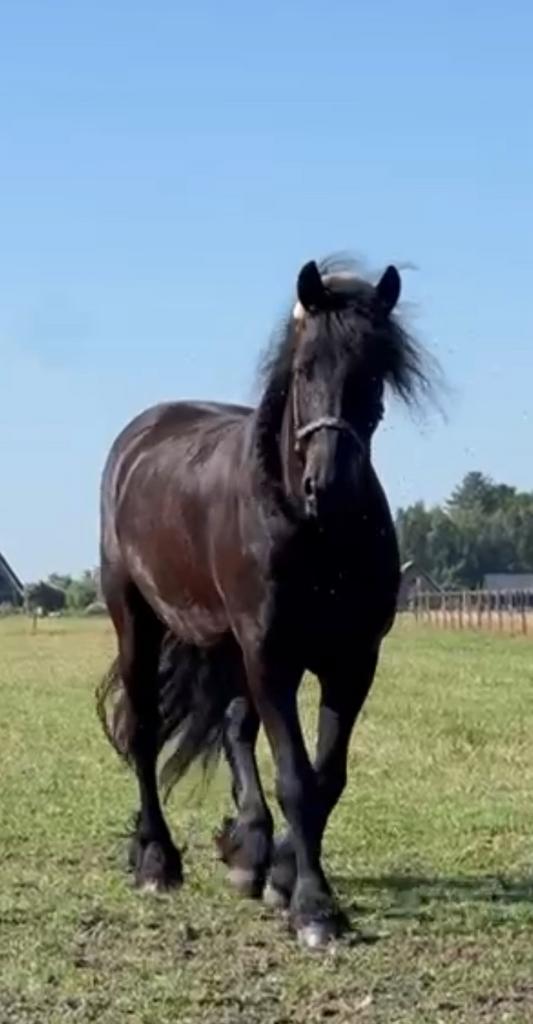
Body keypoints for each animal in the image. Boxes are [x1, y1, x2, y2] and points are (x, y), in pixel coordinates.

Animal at [96, 256, 434, 949]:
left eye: (375, 374)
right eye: (304, 368)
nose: (329, 487)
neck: (314, 536)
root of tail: (140, 435)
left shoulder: (352, 661)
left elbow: (325, 778)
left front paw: (283, 875)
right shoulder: (271, 655)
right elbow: (297, 778)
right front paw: (314, 907)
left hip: (229, 646)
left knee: (232, 726)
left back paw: (248, 850)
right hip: (136, 618)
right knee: (144, 733)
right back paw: (157, 859)